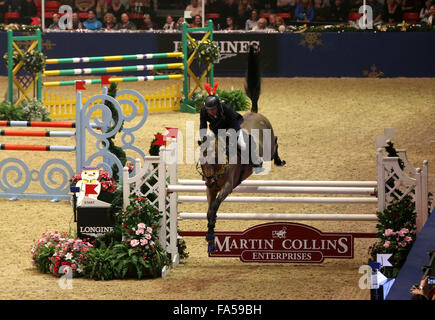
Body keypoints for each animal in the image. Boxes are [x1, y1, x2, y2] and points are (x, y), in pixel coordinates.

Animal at [198, 43, 286, 252]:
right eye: (200, 161)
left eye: (214, 159)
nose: (209, 179)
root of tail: (255, 112)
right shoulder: (210, 189)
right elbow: (209, 210)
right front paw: (210, 236)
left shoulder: (228, 186)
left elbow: (214, 207)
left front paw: (211, 235)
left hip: (268, 149)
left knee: (275, 143)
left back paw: (279, 161)